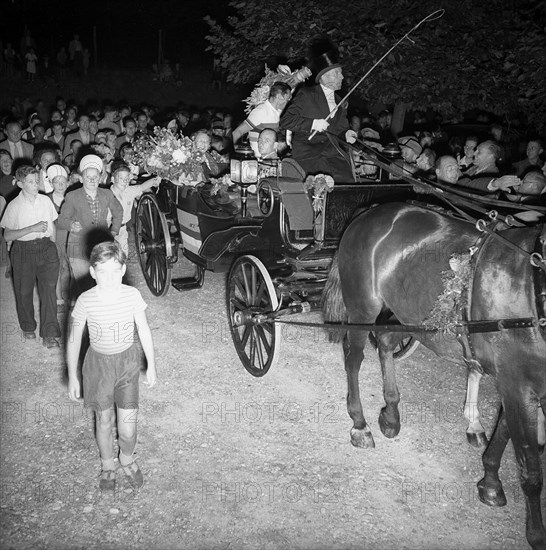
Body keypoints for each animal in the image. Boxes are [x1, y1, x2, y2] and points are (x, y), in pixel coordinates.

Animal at [320, 203, 540, 550]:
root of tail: (370, 212)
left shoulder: (517, 381)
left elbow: (505, 432)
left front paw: (491, 482)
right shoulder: (518, 383)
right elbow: (530, 468)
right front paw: (534, 531)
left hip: (402, 313)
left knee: (385, 342)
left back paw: (391, 413)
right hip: (363, 309)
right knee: (353, 359)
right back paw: (360, 424)